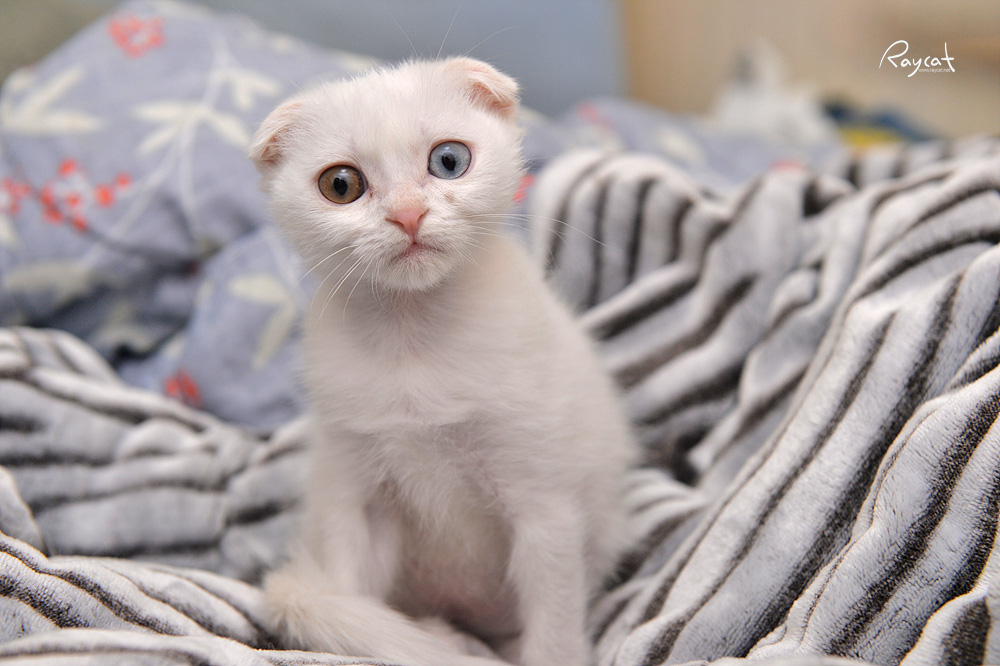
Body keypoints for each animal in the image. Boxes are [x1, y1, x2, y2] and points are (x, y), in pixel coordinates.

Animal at [249, 57, 636, 666]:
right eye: (341, 185)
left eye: (449, 161)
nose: (408, 214)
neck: (415, 340)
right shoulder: (352, 491)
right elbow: (349, 598)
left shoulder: (544, 504)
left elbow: (552, 627)